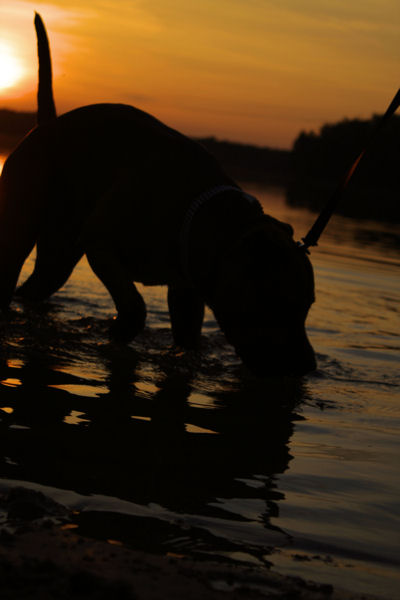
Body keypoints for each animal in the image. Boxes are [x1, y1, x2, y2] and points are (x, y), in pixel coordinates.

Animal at [0, 15, 318, 376]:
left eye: (309, 304)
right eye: (281, 303)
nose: (309, 366)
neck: (202, 211)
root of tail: (46, 126)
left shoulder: (186, 290)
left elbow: (186, 336)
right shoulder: (101, 243)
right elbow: (135, 305)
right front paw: (120, 330)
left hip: (58, 255)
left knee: (36, 286)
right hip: (21, 227)